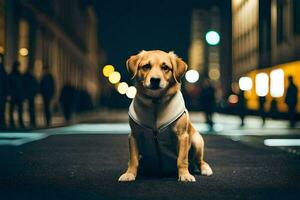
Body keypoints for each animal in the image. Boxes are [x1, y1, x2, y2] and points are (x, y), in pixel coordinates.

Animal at [118, 49, 212, 181]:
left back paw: (205, 169)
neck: (156, 101)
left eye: (165, 67)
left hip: (197, 141)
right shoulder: (134, 136)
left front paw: (184, 175)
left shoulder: (182, 136)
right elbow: (133, 160)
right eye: (146, 66)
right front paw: (129, 173)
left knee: (199, 161)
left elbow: (182, 159)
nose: (155, 80)